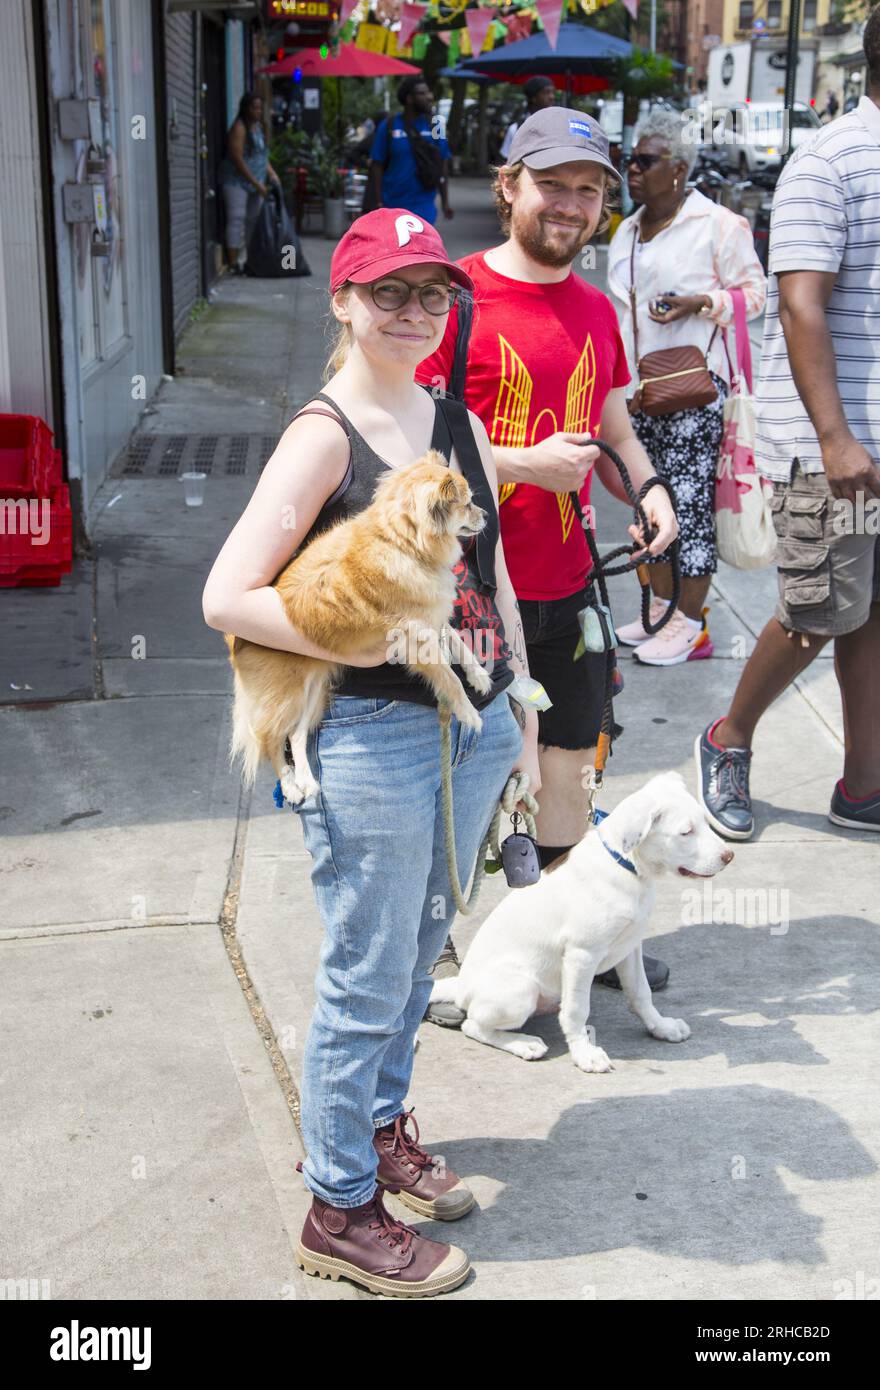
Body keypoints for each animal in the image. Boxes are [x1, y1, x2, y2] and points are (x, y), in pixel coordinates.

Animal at [222, 453, 492, 806]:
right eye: (468, 503)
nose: (487, 515)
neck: (400, 543)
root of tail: (234, 641)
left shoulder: (431, 618)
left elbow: (459, 643)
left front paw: (479, 674)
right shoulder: (415, 640)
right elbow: (449, 679)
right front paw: (469, 712)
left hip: (314, 691)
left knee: (296, 735)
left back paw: (307, 781)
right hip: (286, 696)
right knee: (271, 740)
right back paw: (291, 784)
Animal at [428, 772, 728, 1073]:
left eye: (704, 823)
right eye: (686, 832)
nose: (728, 856)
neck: (625, 866)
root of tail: (461, 985)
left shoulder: (630, 946)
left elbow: (640, 992)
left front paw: (661, 1027)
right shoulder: (581, 955)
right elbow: (576, 1011)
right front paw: (584, 1053)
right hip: (521, 990)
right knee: (473, 1025)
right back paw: (524, 1043)